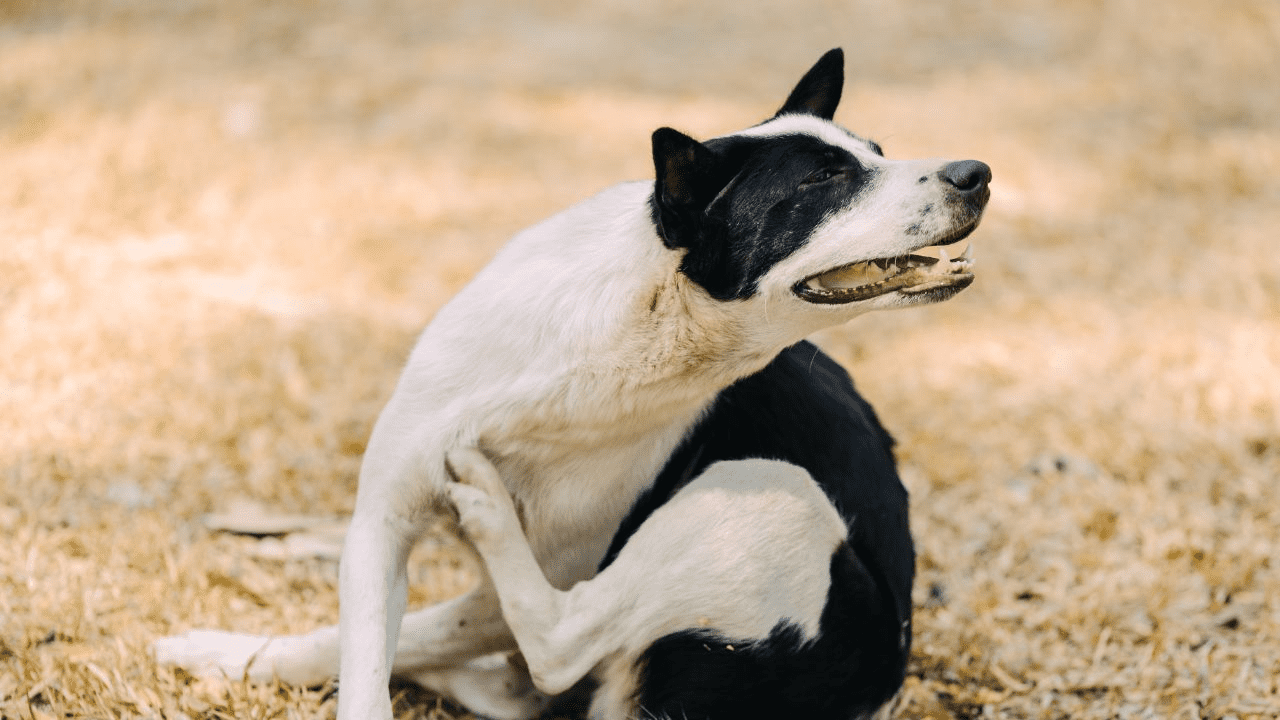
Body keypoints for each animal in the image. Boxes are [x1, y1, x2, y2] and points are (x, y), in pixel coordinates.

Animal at [152, 46, 988, 717]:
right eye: (825, 180)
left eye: (875, 154)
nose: (977, 172)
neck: (631, 328)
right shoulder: (382, 520)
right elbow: (367, 646)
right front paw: (234, 645)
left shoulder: (546, 570)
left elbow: (441, 629)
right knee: (518, 679)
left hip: (769, 491)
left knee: (556, 646)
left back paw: (483, 512)